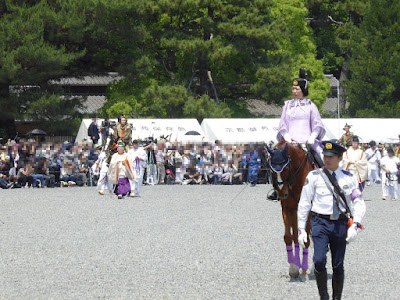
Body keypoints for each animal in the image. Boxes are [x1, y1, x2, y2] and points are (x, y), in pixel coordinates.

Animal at [268, 141, 314, 278]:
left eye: (286, 168)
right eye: (271, 169)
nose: (282, 193)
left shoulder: (308, 211)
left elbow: (306, 239)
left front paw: (303, 271)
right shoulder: (288, 209)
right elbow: (289, 237)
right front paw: (294, 269)